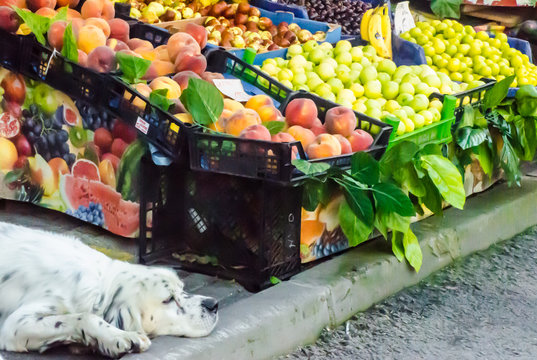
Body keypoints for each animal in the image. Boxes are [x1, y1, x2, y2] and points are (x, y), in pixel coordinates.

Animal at [0, 222, 218, 358]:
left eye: (182, 288)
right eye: (168, 299)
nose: (214, 304)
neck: (98, 285)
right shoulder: (15, 324)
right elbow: (85, 317)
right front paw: (122, 337)